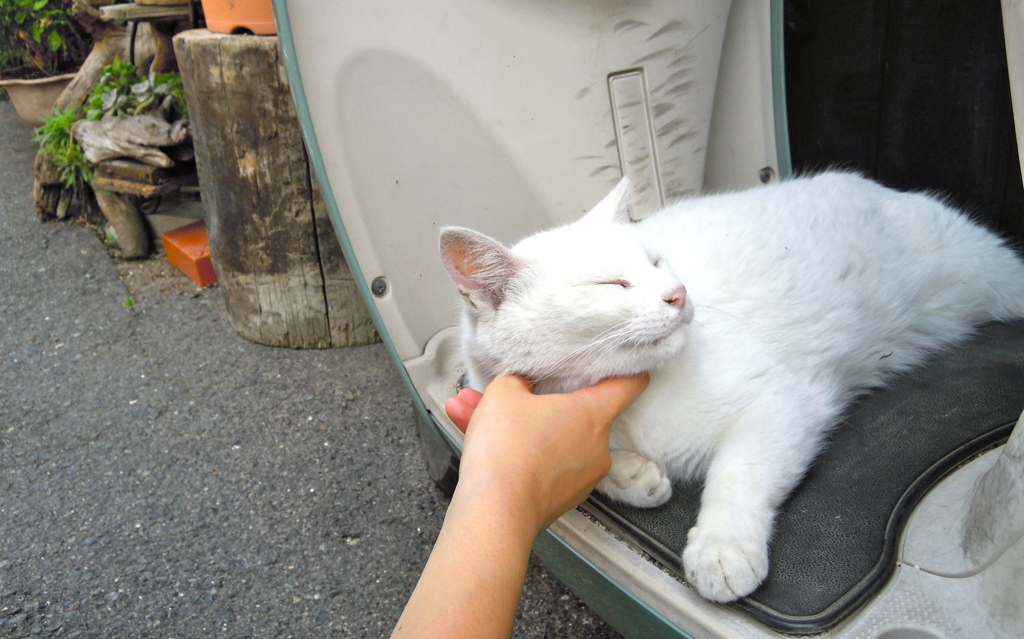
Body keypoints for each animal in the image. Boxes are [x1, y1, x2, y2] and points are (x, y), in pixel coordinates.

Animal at [436, 172, 1024, 602]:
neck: (631, 407)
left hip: (990, 275)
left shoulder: (784, 402)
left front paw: (722, 548)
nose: (677, 293)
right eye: (612, 284)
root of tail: (880, 189)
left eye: (657, 261)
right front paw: (631, 475)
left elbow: (737, 474)